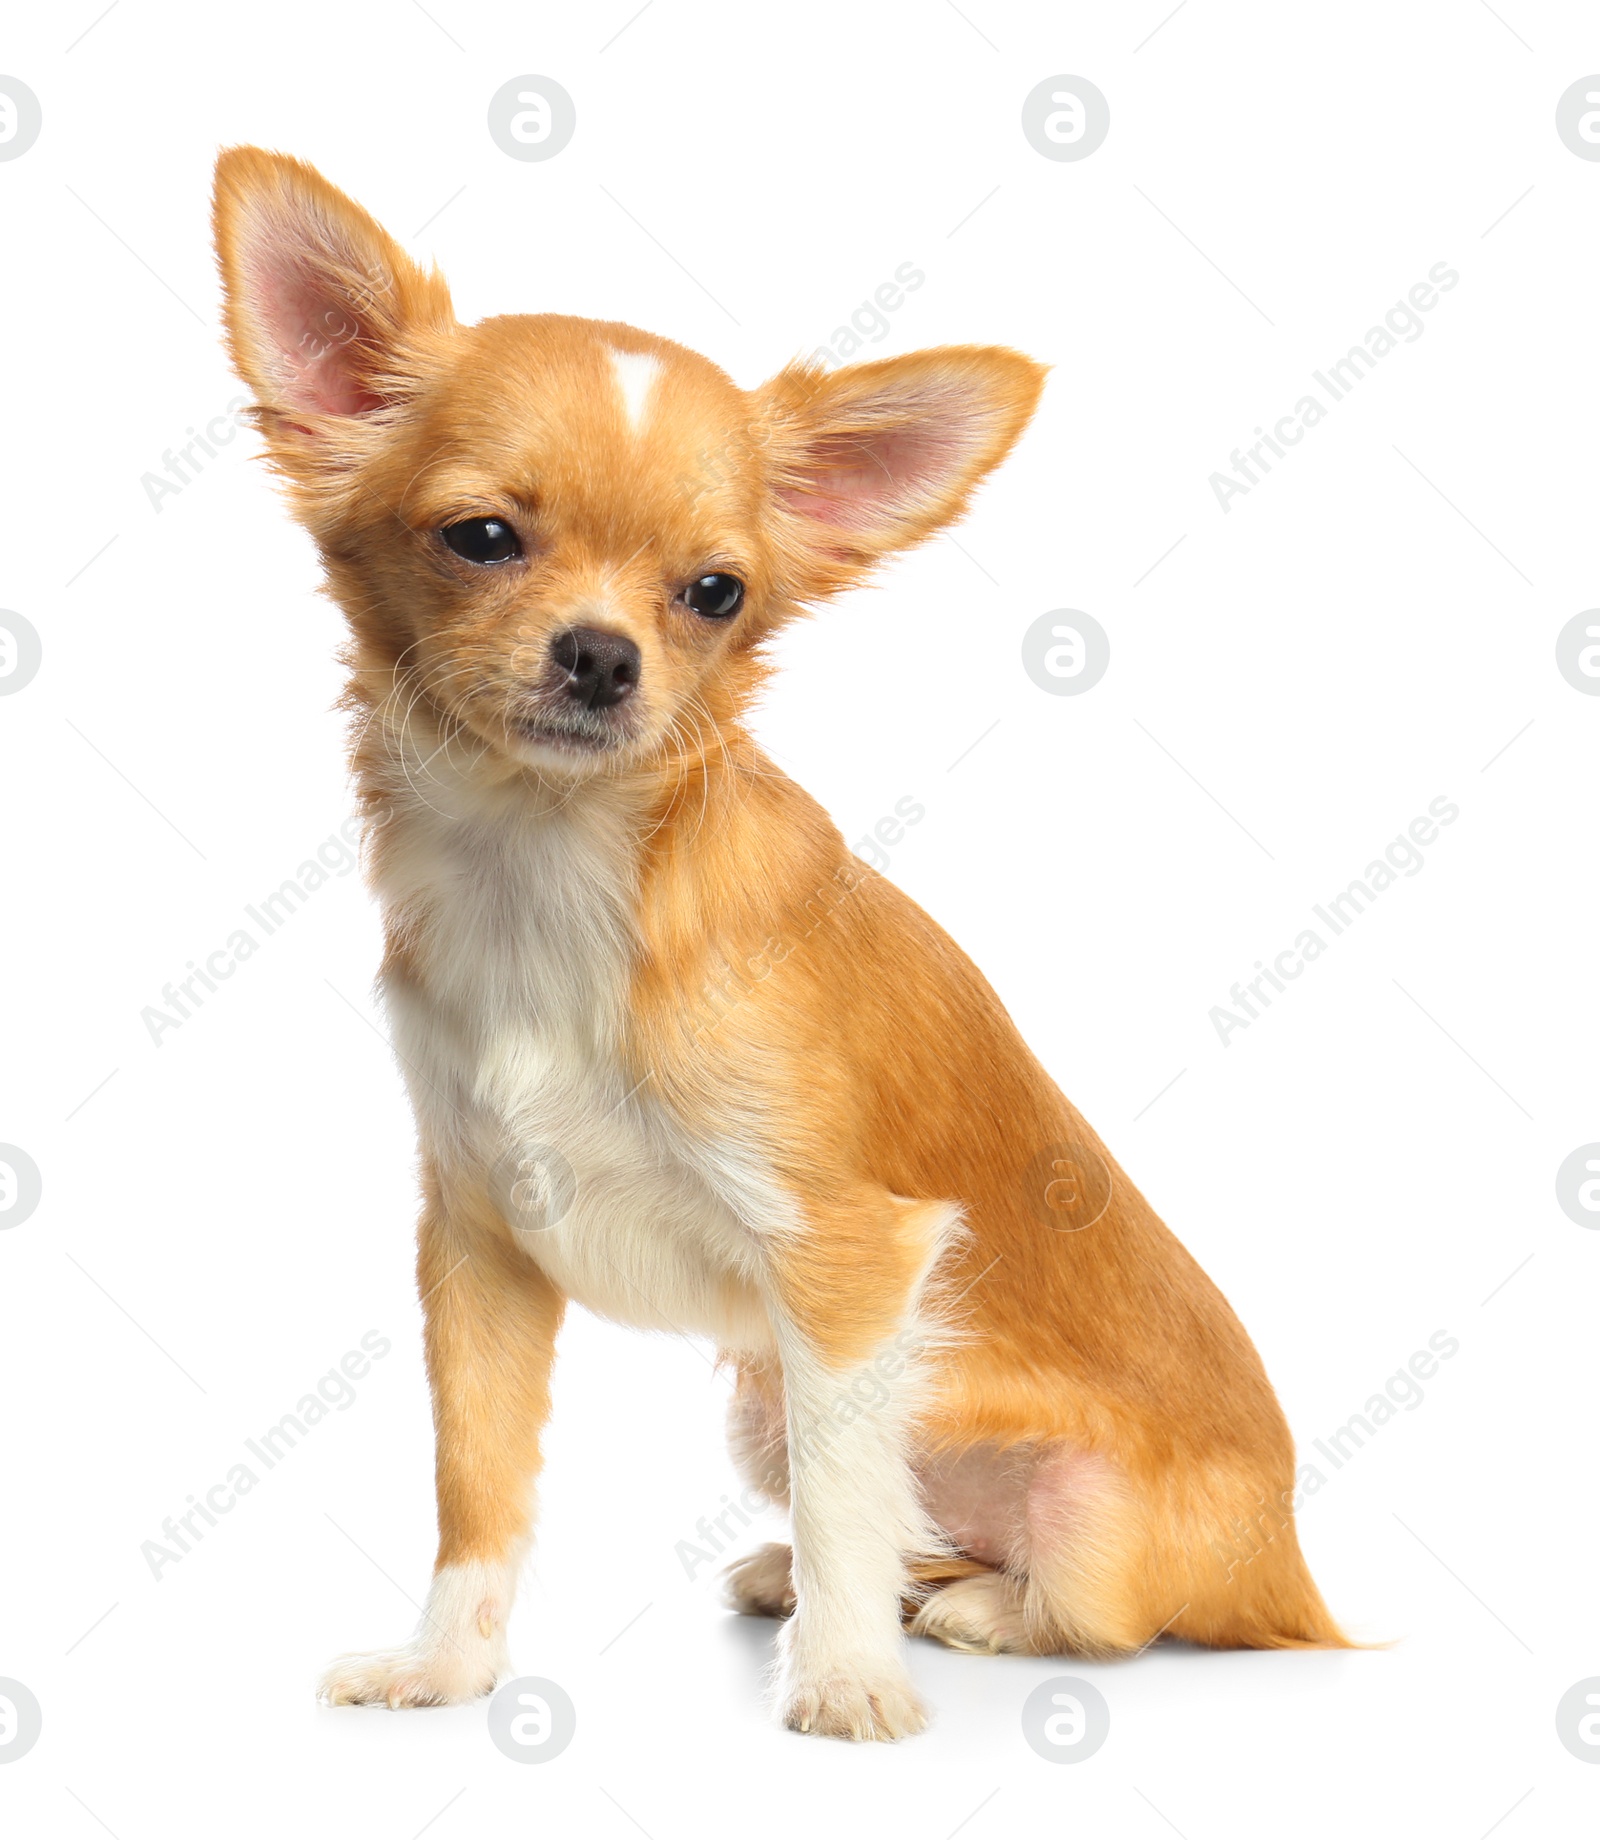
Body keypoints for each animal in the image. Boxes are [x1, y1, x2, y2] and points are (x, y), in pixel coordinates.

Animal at [206, 147, 1346, 1736]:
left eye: (715, 593)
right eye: (481, 537)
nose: (601, 655)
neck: (547, 866)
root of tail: (1299, 1579)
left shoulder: (852, 1268)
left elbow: (844, 1500)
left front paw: (849, 1681)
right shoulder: (481, 1245)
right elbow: (477, 1489)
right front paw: (446, 1666)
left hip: (1067, 1506)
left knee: (1091, 1611)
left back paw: (963, 1608)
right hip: (760, 1398)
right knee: (901, 1520)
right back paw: (841, 1579)